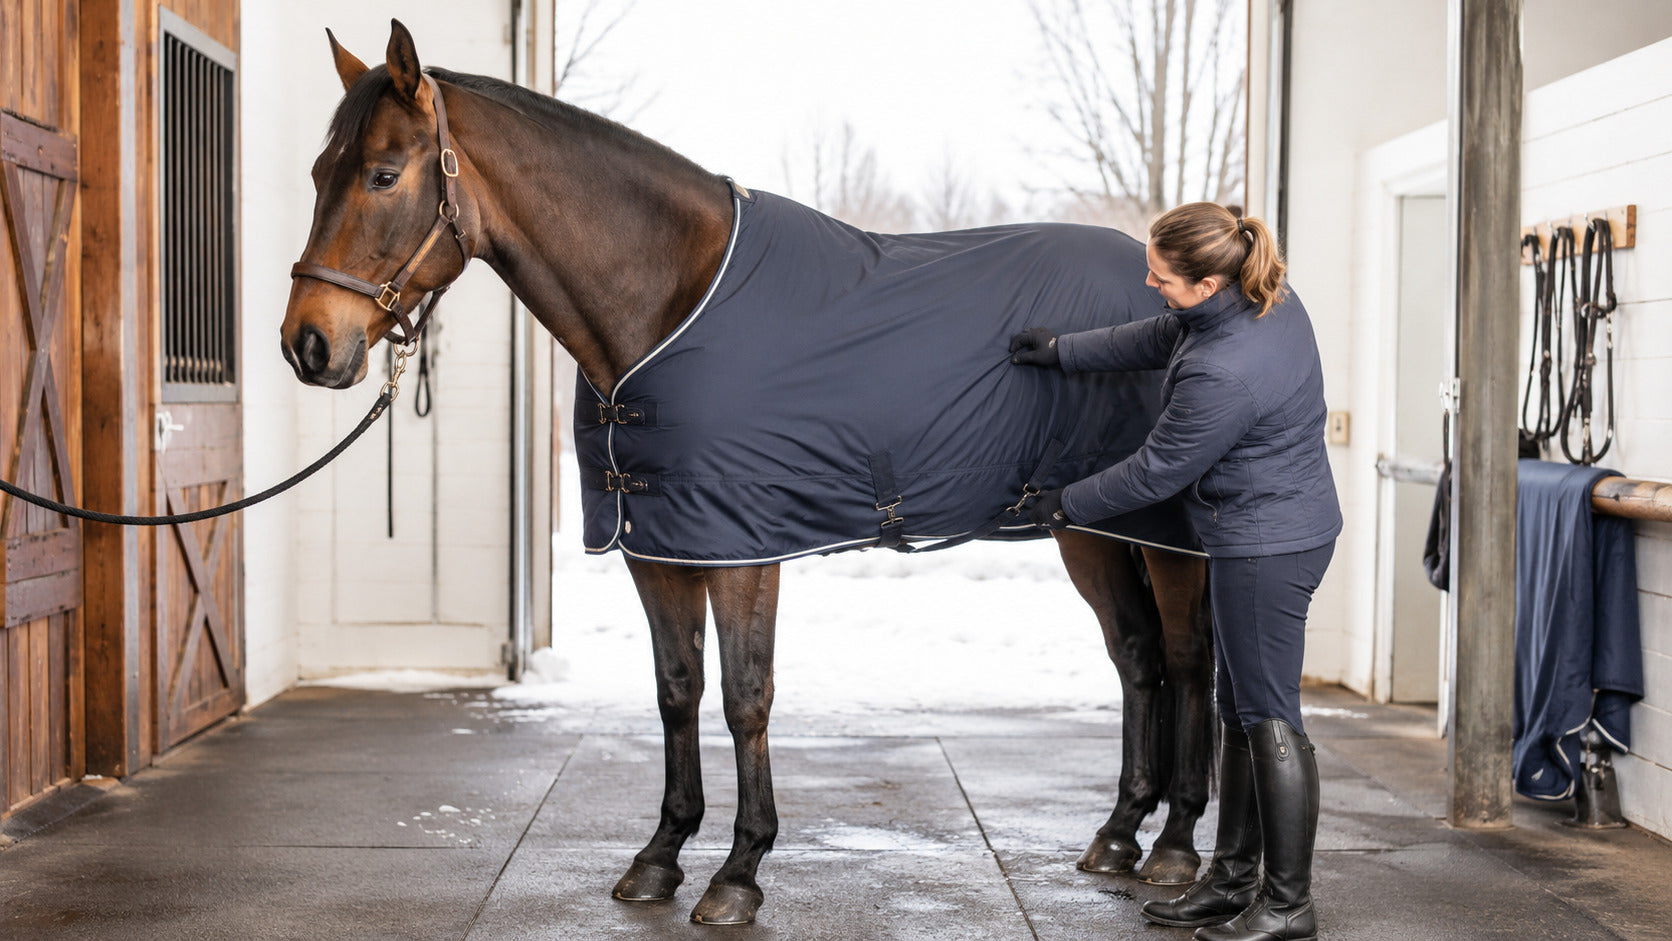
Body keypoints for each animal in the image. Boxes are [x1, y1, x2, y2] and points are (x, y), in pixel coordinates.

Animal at [281, 21, 1214, 926]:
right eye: (320, 172)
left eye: (383, 175)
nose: (307, 344)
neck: (668, 302)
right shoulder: (657, 545)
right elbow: (677, 688)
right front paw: (660, 855)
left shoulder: (742, 547)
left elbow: (744, 695)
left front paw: (739, 871)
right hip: (1088, 528)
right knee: (1138, 656)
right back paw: (1120, 833)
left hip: (1167, 538)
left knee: (1188, 656)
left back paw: (1174, 846)